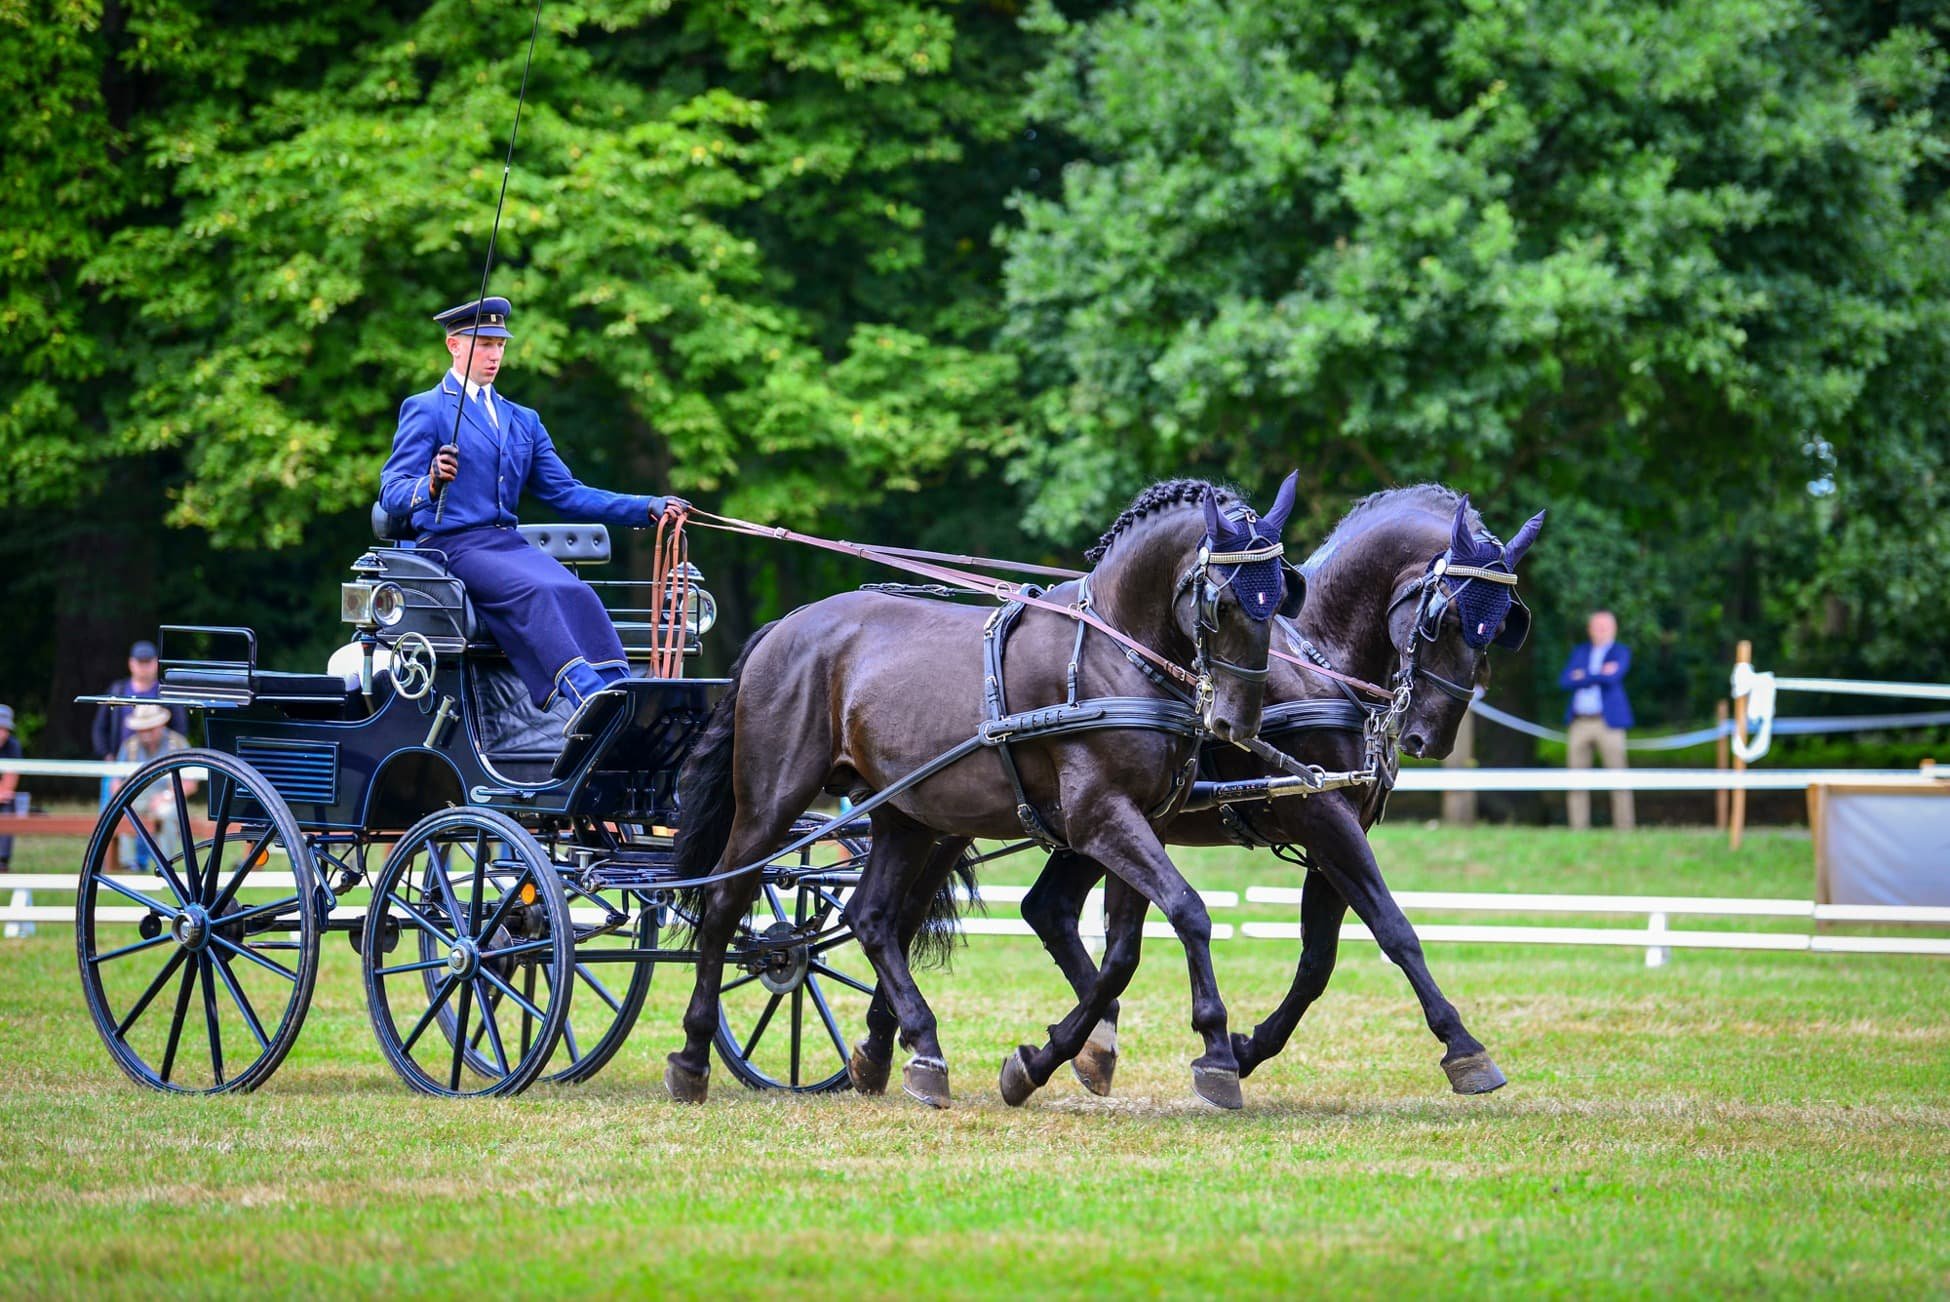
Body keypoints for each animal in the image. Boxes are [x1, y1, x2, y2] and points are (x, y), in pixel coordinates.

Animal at [663, 477, 1302, 1107]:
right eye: (1222, 604)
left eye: (1280, 598)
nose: (1238, 723)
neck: (1113, 651)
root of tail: (787, 625)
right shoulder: (1100, 819)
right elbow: (1189, 912)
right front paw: (1213, 1053)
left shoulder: (1147, 820)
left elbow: (1123, 952)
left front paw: (1046, 1060)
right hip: (771, 801)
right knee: (725, 902)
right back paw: (693, 1056)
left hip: (904, 815)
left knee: (873, 917)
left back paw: (915, 1052)